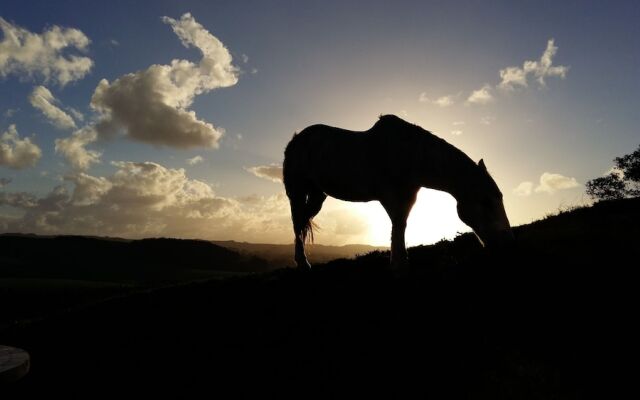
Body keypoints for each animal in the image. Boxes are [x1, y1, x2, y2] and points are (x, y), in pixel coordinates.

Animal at [282, 114, 512, 268]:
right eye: (485, 202)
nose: (507, 243)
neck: (410, 155)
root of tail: (295, 140)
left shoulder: (408, 198)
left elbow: (400, 229)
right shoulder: (391, 198)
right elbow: (398, 229)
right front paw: (399, 267)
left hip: (317, 195)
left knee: (303, 221)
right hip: (297, 192)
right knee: (297, 222)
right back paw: (303, 263)